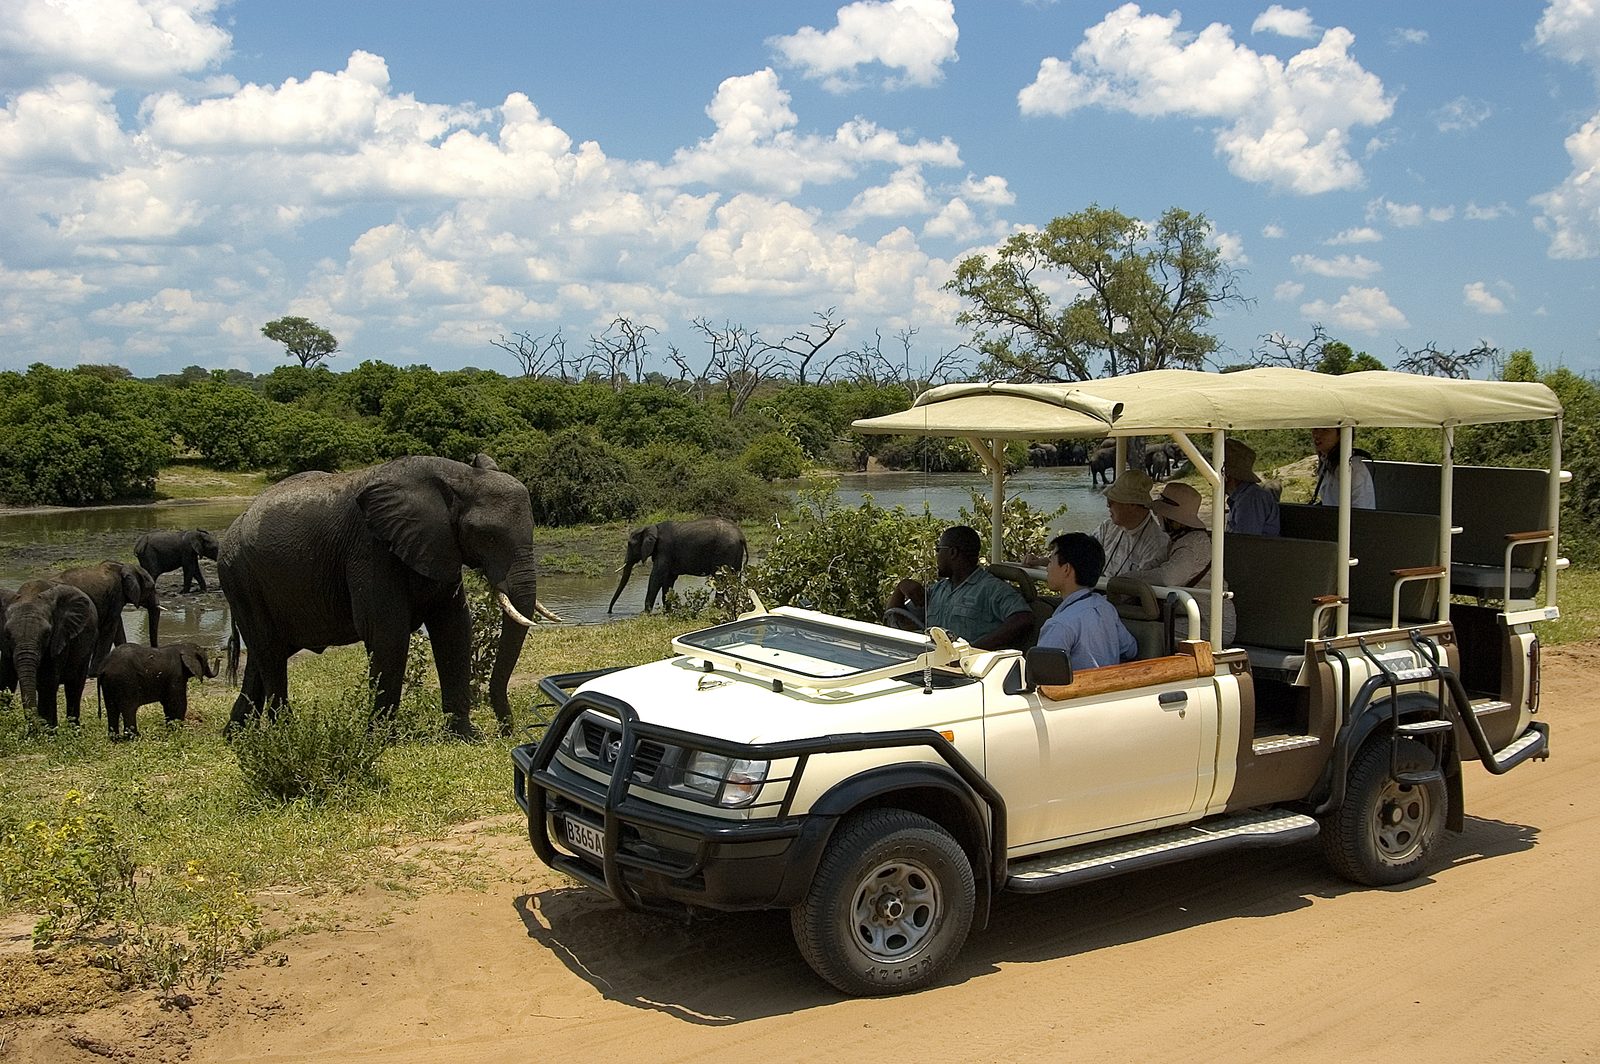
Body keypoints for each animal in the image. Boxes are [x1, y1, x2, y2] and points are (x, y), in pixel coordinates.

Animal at [0, 580, 99, 727]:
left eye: (47, 634)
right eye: (7, 634)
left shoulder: (59, 638)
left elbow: (46, 684)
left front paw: (45, 731)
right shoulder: (6, 648)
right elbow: (6, 681)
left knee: (74, 687)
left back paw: (73, 729)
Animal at [219, 454, 561, 740]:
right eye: (486, 536)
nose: (507, 731)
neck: (458, 476)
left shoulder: (439, 547)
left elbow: (454, 628)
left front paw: (465, 736)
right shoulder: (371, 548)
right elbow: (388, 633)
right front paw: (382, 740)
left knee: (262, 656)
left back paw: (235, 736)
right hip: (240, 579)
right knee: (270, 652)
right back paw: (284, 735)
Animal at [608, 517, 748, 614]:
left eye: (630, 544)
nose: (609, 612)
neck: (651, 528)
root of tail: (741, 536)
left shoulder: (664, 550)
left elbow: (656, 577)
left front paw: (645, 613)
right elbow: (668, 580)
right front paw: (667, 611)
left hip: (725, 551)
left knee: (721, 578)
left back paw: (716, 608)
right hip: (734, 552)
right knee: (733, 578)